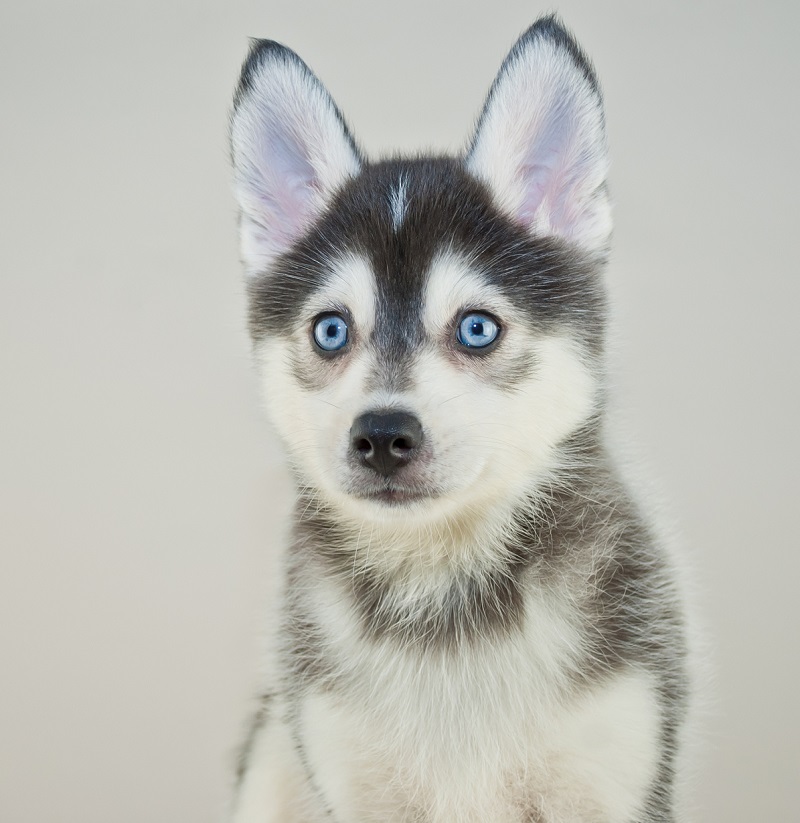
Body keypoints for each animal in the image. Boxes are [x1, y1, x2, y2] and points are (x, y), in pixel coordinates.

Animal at [228, 14, 692, 823]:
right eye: (330, 330)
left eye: (477, 328)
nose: (383, 436)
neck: (444, 593)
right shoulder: (349, 772)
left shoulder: (613, 767)